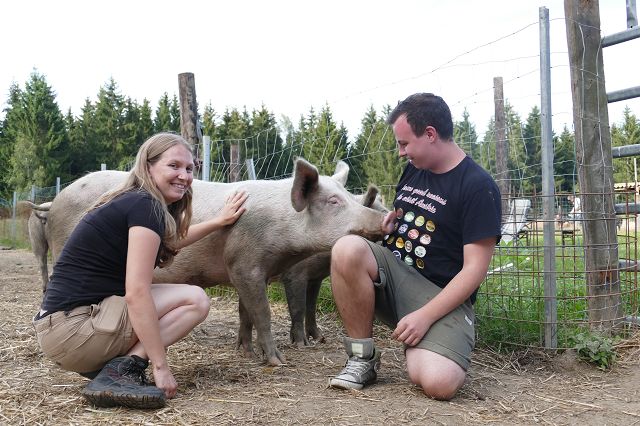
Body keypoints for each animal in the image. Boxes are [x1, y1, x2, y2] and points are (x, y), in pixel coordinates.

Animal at [41, 158, 386, 365]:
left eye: (350, 197)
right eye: (334, 201)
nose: (386, 218)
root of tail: (57, 200)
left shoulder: (245, 269)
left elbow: (246, 313)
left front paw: (245, 351)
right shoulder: (247, 263)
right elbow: (263, 313)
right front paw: (277, 361)